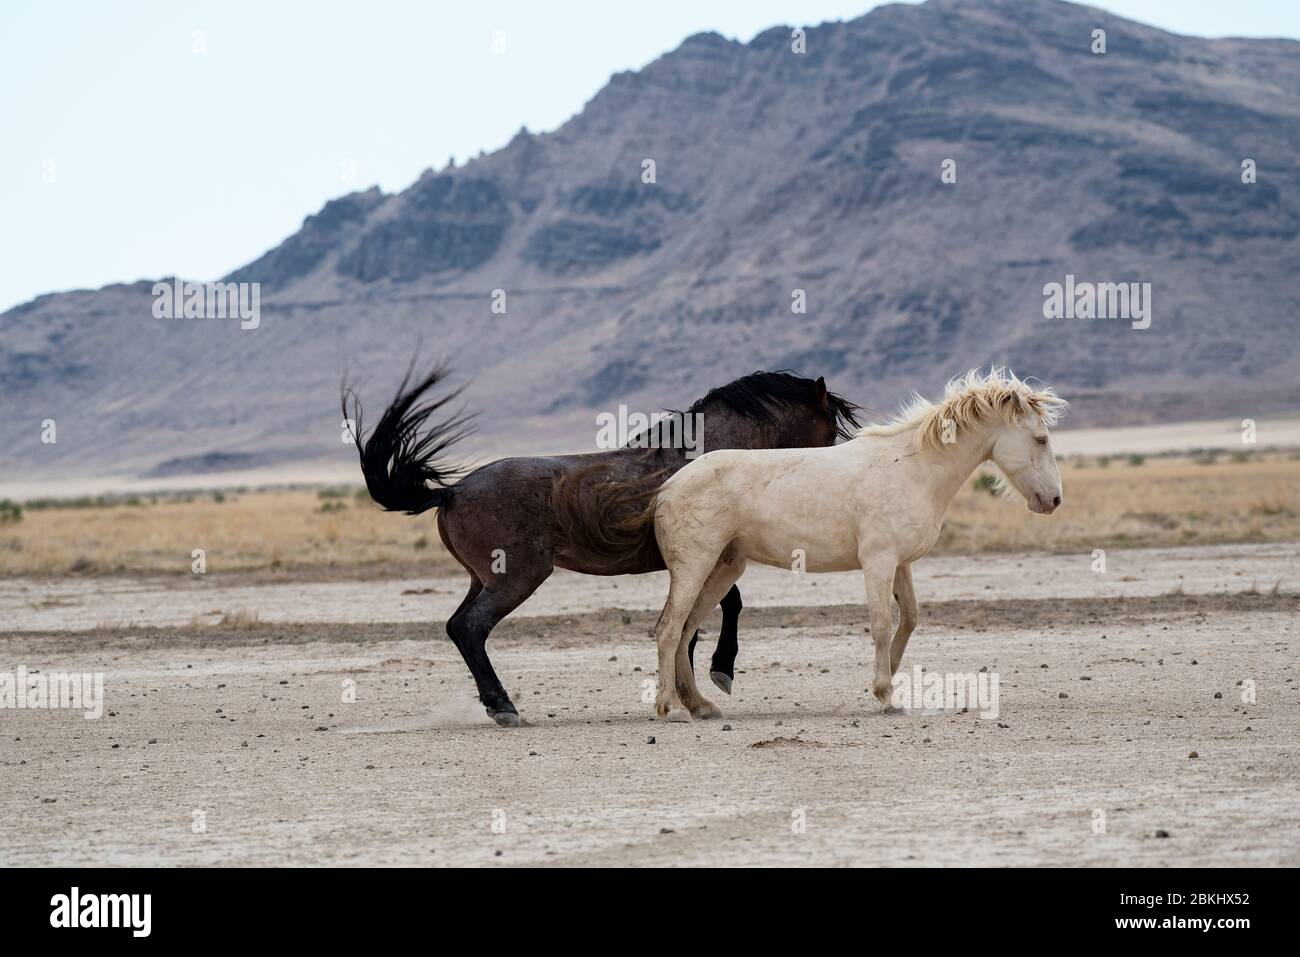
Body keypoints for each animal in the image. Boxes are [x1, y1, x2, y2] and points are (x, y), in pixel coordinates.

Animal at [343, 361, 861, 726]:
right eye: (829, 429)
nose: (836, 475)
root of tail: (450, 492)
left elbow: (699, 620)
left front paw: (694, 690)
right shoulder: (706, 557)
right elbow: (721, 609)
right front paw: (717, 676)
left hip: (483, 579)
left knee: (457, 626)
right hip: (517, 577)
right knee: (470, 628)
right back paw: (505, 708)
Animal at [556, 368, 1067, 722]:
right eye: (1040, 438)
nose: (1054, 500)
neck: (913, 468)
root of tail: (666, 487)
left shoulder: (900, 564)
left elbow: (909, 620)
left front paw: (890, 681)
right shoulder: (877, 562)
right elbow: (882, 624)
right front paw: (885, 695)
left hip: (723, 569)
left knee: (684, 631)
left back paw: (701, 705)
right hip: (695, 567)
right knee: (667, 630)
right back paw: (668, 707)